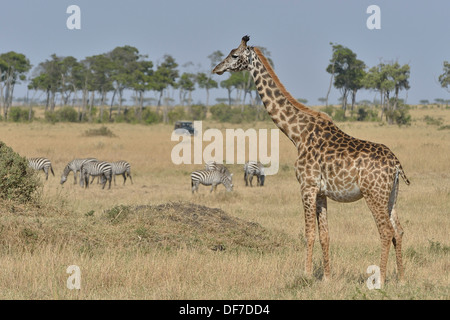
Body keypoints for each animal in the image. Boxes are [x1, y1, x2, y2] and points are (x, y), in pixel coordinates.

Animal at [213, 35, 410, 284]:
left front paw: (306, 274)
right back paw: (401, 279)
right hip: (391, 194)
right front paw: (326, 277)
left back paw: (381, 279)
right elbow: (325, 234)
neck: (297, 134)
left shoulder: (306, 186)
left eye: (234, 55)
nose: (217, 69)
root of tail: (396, 165)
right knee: (399, 230)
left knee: (385, 231)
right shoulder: (321, 191)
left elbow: (309, 233)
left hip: (373, 193)